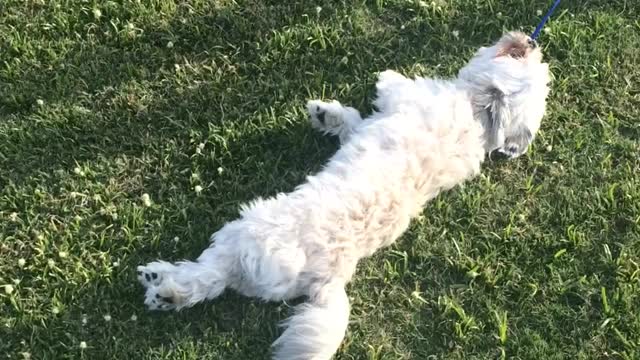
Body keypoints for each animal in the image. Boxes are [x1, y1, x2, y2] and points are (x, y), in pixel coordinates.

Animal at [139, 31, 552, 360]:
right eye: (527, 58)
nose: (531, 42)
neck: (476, 114)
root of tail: (329, 277)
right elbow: (352, 120)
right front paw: (327, 114)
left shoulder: (405, 98)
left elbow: (389, 89)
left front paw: (381, 80)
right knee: (209, 284)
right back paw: (166, 293)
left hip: (245, 232)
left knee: (208, 275)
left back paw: (160, 281)